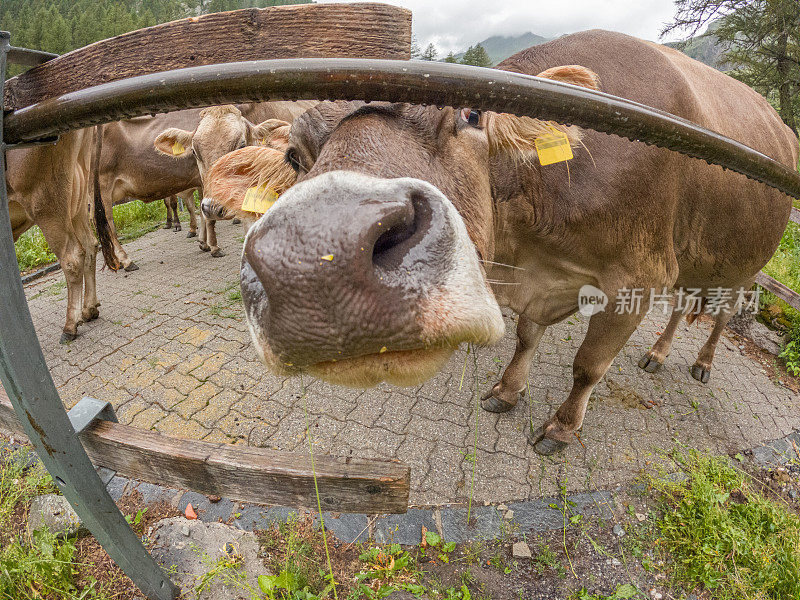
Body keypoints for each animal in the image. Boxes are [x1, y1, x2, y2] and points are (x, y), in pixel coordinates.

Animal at [241, 31, 796, 454]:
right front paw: (508, 390)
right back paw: (658, 353)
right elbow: (528, 335)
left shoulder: (641, 276)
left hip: (744, 265)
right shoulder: (544, 281)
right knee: (684, 305)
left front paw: (562, 428)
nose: (320, 266)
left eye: (470, 114)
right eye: (294, 156)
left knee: (722, 313)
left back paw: (702, 363)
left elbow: (588, 366)